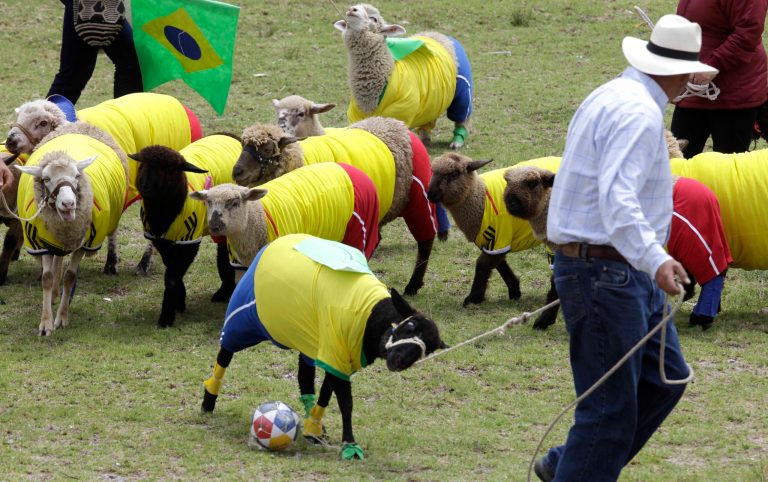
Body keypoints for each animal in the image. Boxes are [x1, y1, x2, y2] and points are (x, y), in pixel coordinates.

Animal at [14, 122, 128, 336]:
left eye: (76, 176)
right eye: (46, 179)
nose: (68, 204)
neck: (65, 227)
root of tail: (80, 124)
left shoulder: (85, 243)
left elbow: (70, 277)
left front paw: (61, 318)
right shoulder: (41, 242)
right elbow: (47, 278)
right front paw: (45, 323)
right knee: (57, 260)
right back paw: (53, 295)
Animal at [128, 134, 242, 328]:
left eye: (168, 169)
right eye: (142, 164)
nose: (145, 186)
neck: (162, 212)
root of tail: (230, 135)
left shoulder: (189, 239)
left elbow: (172, 276)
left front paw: (166, 317)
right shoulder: (159, 239)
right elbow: (171, 269)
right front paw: (179, 301)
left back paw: (225, 292)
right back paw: (224, 292)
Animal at [200, 233, 446, 460]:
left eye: (427, 350)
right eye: (409, 326)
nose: (399, 362)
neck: (371, 314)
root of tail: (279, 240)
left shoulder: (339, 357)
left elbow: (326, 393)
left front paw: (314, 429)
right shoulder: (336, 350)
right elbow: (346, 403)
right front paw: (350, 446)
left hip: (307, 339)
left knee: (304, 378)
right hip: (245, 316)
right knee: (225, 352)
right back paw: (208, 399)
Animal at [232, 117, 440, 295]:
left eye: (267, 149)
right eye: (243, 145)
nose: (236, 171)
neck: (299, 159)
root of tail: (399, 125)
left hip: (418, 196)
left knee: (425, 240)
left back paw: (413, 285)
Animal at [334, 4, 473, 149]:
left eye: (374, 19)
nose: (351, 9)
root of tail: (439, 34)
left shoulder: (401, 113)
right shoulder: (357, 116)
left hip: (462, 91)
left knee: (463, 117)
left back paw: (457, 141)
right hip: (434, 98)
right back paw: (425, 138)